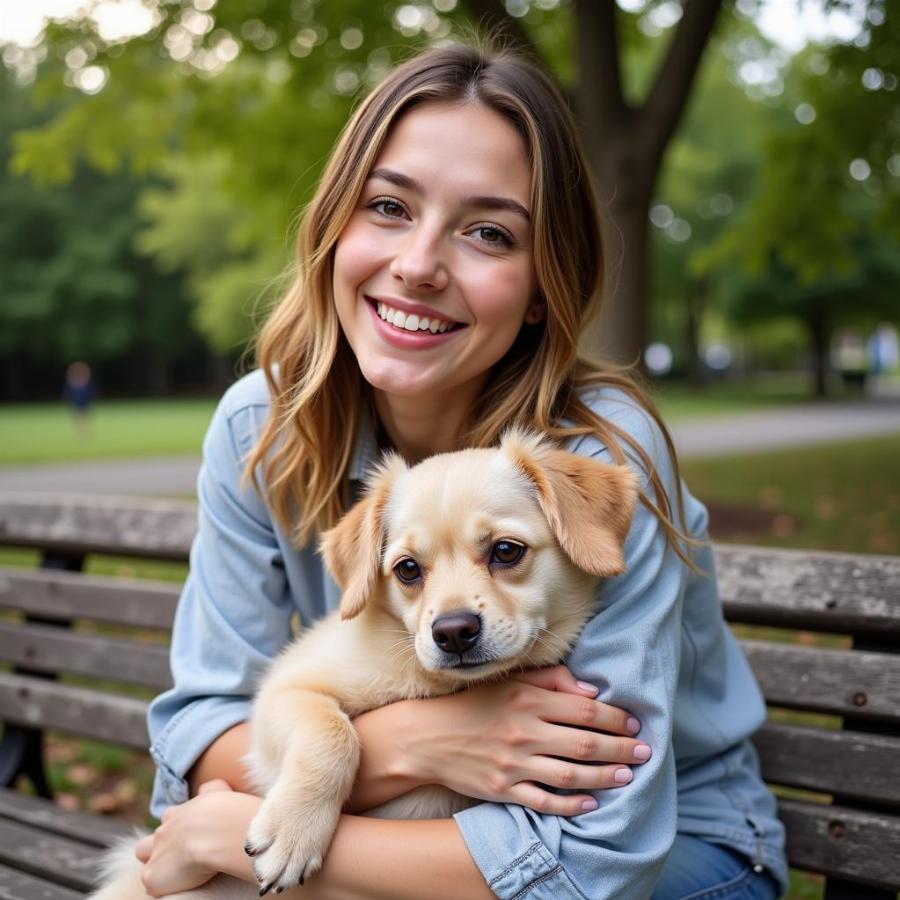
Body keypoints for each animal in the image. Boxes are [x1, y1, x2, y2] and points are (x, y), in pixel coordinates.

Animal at [89, 432, 640, 896]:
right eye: (407, 569)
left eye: (506, 551)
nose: (452, 632)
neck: (432, 683)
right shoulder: (286, 691)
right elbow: (335, 735)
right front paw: (293, 833)